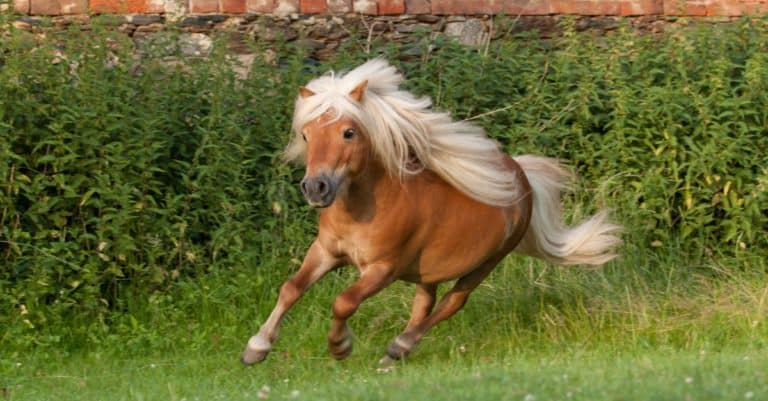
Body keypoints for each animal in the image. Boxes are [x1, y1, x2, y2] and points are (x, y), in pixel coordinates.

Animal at [241, 59, 622, 366]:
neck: (362, 209)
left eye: (348, 132)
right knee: (425, 304)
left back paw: (399, 347)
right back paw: (393, 355)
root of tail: (523, 176)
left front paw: (340, 346)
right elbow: (291, 288)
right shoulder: (325, 251)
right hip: (430, 269)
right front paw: (256, 348)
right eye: (306, 135)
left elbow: (344, 302)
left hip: (486, 263)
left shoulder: (383, 269)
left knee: (452, 303)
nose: (315, 188)